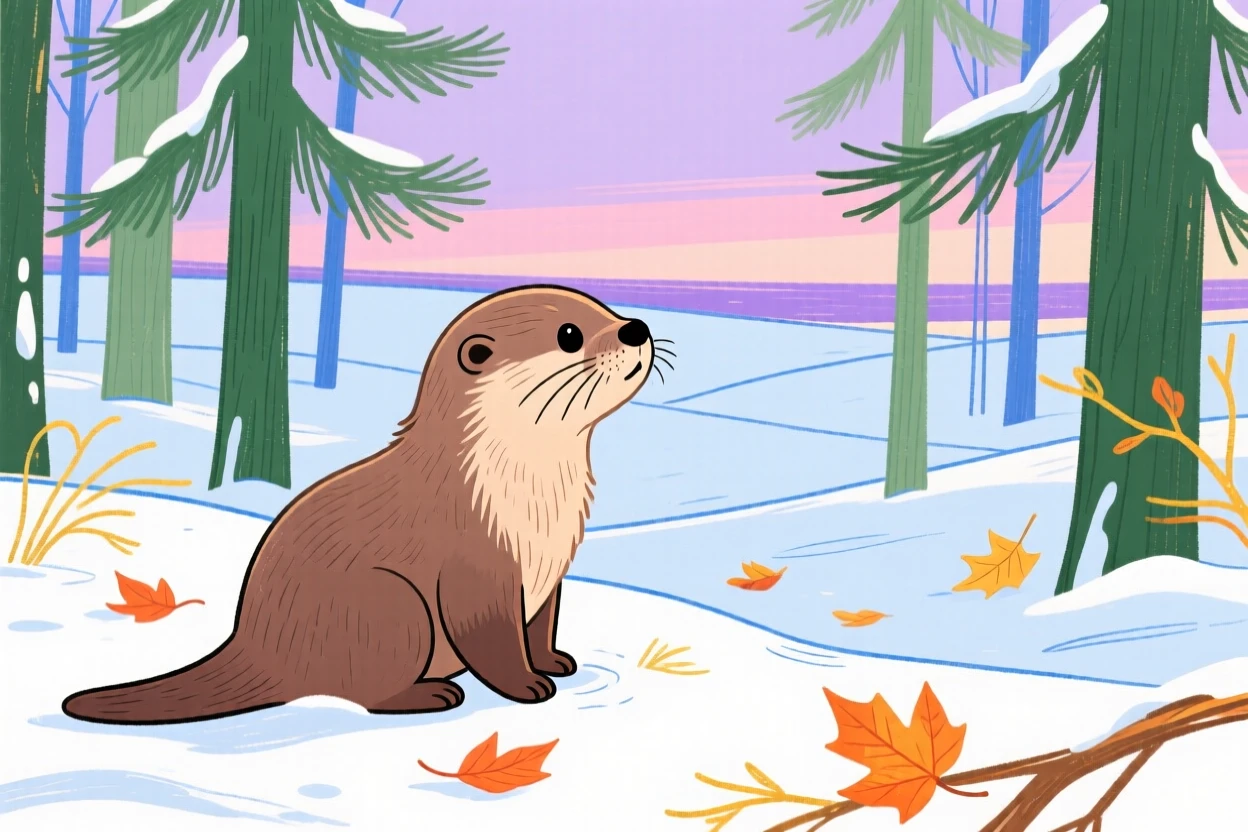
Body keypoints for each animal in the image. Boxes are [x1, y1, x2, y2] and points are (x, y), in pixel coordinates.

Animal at [63, 285, 663, 724]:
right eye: (569, 335)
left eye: (605, 307)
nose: (636, 327)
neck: (520, 490)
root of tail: (255, 643)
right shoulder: (477, 565)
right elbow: (490, 638)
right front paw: (528, 685)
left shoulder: (546, 570)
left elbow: (539, 626)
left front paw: (555, 662)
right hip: (389, 607)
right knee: (366, 691)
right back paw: (431, 693)